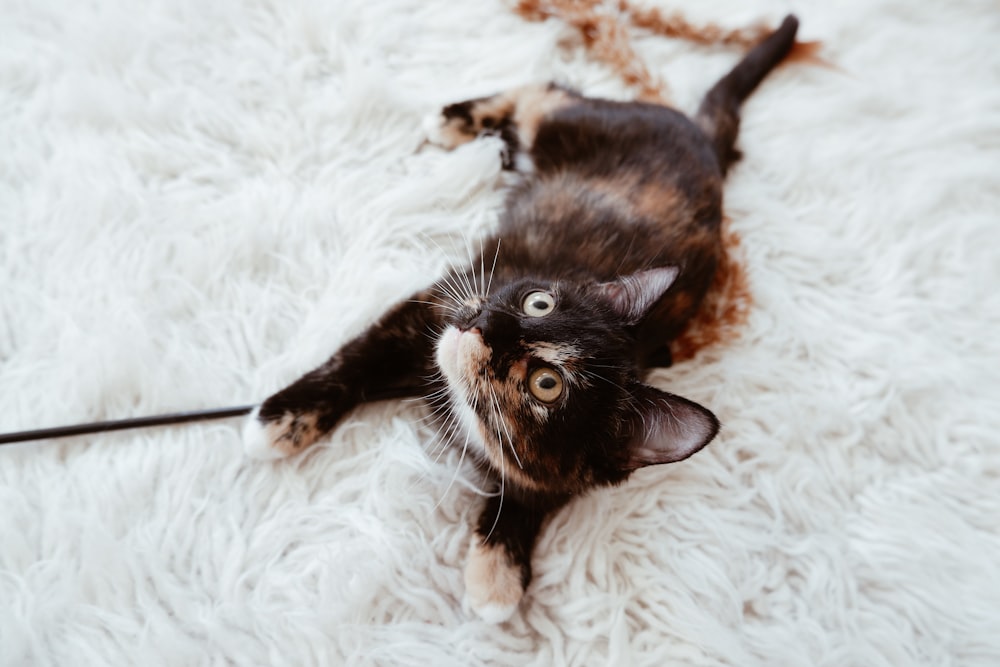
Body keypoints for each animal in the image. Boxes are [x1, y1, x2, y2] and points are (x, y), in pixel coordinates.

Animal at [246, 13, 800, 624]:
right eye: (540, 302)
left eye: (546, 384)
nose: (487, 326)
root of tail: (702, 139)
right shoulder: (440, 303)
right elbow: (356, 359)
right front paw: (281, 420)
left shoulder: (569, 465)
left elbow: (535, 489)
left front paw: (499, 566)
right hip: (579, 124)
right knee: (548, 93)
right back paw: (453, 120)